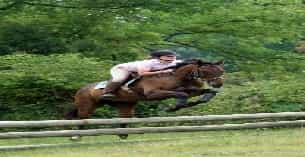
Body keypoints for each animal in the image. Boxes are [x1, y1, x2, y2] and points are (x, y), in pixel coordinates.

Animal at [66, 59, 223, 139]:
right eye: (208, 70)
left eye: (221, 71)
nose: (220, 83)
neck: (172, 77)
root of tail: (80, 89)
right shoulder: (153, 94)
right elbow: (182, 95)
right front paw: (174, 107)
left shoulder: (186, 89)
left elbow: (206, 92)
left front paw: (203, 98)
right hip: (87, 106)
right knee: (81, 119)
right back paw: (75, 136)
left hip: (125, 106)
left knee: (123, 120)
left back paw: (123, 135)